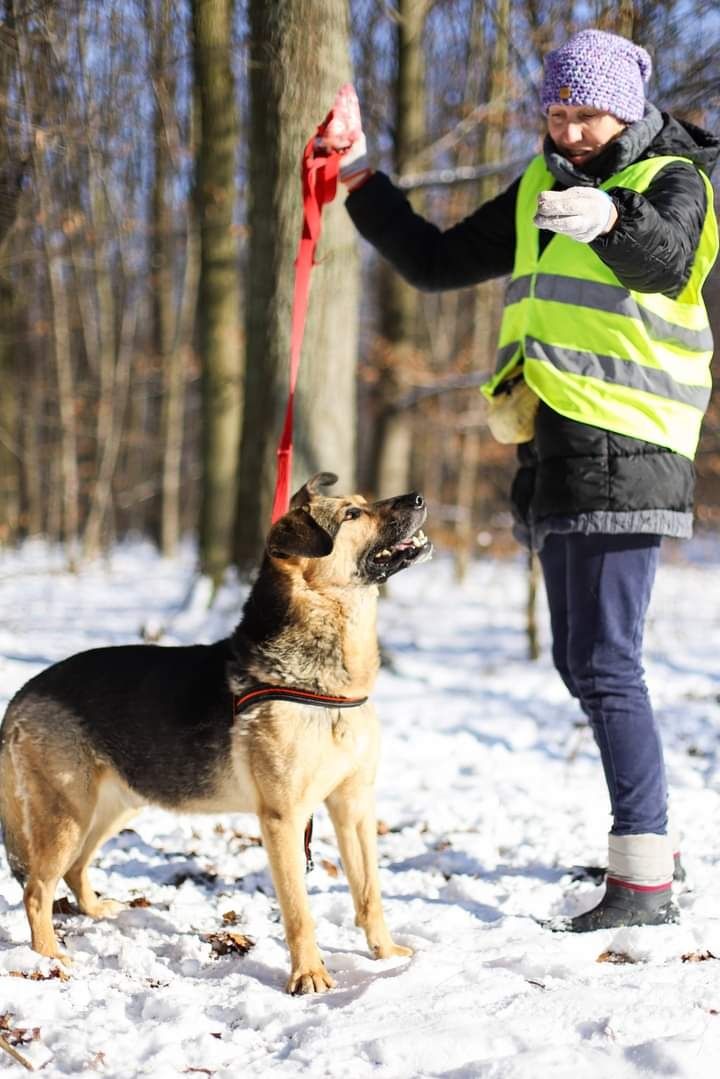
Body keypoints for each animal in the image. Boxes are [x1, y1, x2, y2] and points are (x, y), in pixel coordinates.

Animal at [0, 472, 431, 992]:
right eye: (352, 514)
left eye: (363, 503)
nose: (419, 498)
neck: (323, 684)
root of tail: (24, 691)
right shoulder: (283, 820)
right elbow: (298, 911)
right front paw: (308, 975)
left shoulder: (355, 808)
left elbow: (370, 894)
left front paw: (384, 954)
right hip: (67, 815)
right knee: (36, 889)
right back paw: (50, 959)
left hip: (113, 807)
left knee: (75, 869)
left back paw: (97, 912)